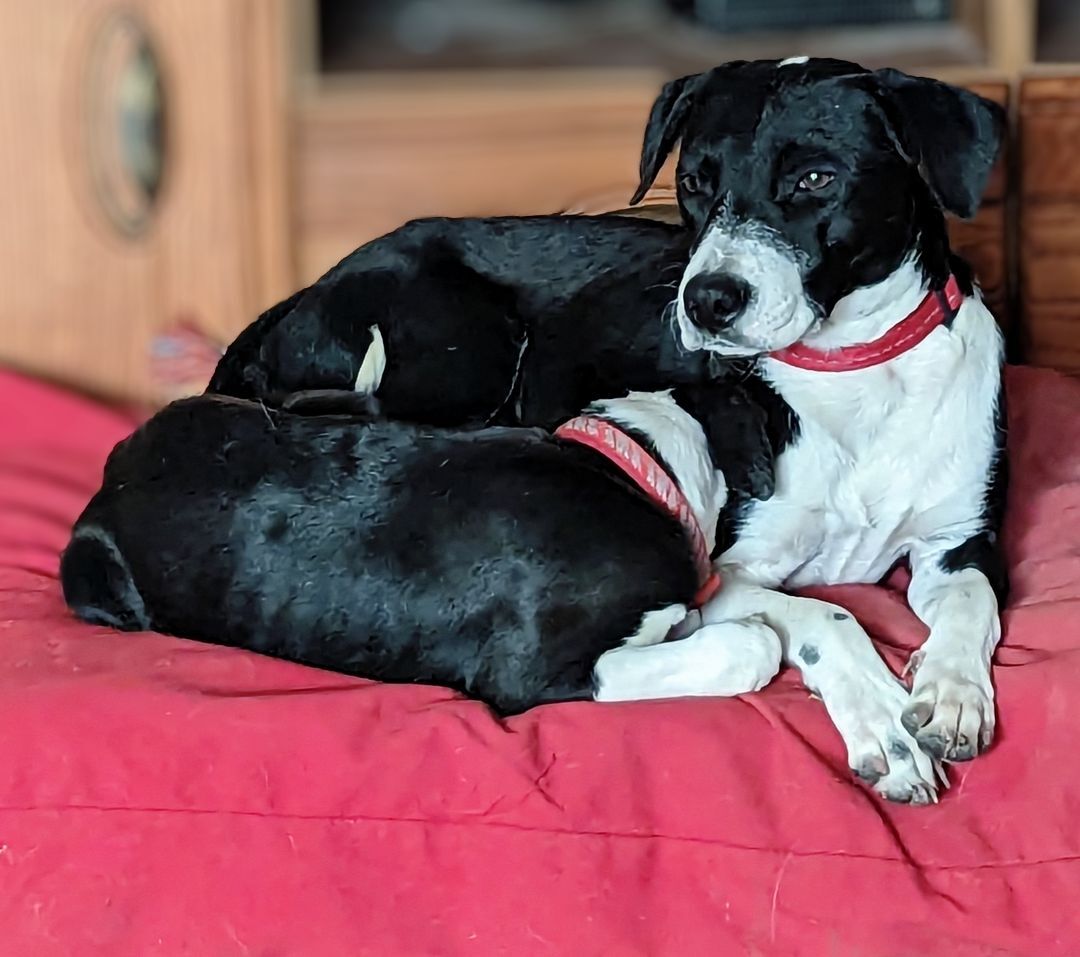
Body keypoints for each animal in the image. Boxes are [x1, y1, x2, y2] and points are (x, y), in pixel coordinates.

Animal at [61, 61, 1002, 807]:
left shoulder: (962, 542)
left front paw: (953, 691)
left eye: (813, 179)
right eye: (695, 184)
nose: (705, 301)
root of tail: (303, 292)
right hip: (461, 350)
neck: (852, 373)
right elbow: (822, 618)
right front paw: (884, 725)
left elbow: (973, 604)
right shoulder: (727, 575)